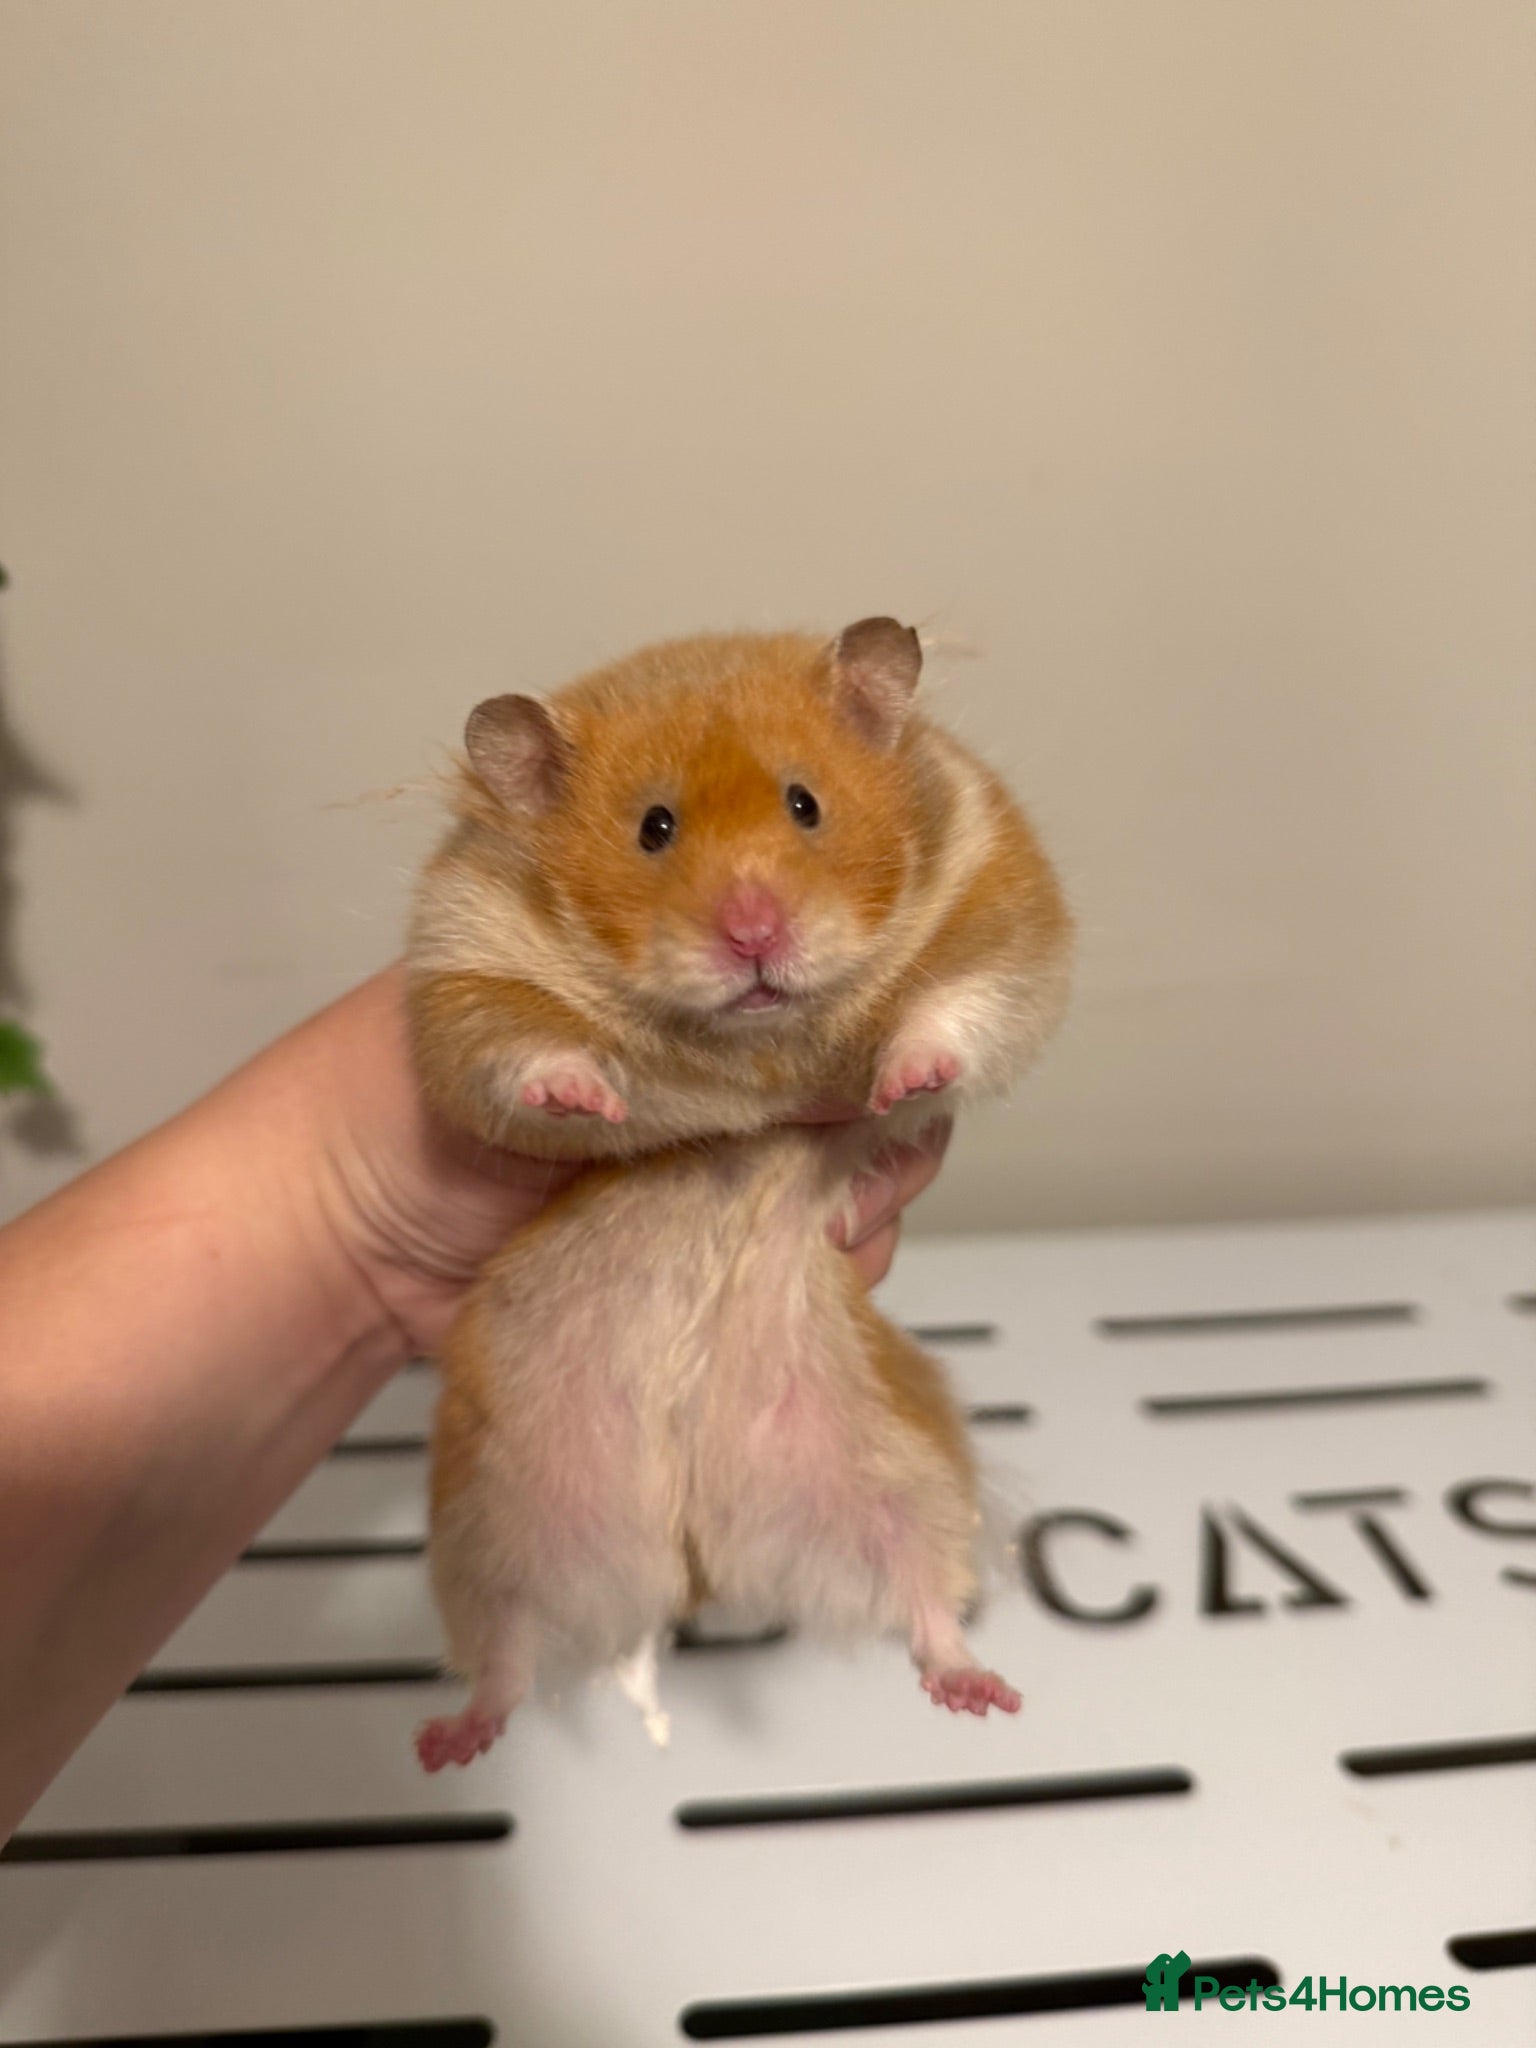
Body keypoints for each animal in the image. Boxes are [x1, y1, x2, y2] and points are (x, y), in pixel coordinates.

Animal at [406, 619, 1071, 1768]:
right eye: (654, 827)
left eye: (806, 802)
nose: (753, 936)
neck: (752, 1047)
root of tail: (696, 1556)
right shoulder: (465, 971)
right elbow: (522, 1052)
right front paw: (592, 1096)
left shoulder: (999, 896)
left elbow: (956, 1007)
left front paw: (900, 1084)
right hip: (494, 1516)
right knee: (507, 1647)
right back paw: (450, 1741)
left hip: (901, 1463)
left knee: (923, 1595)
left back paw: (978, 1691)